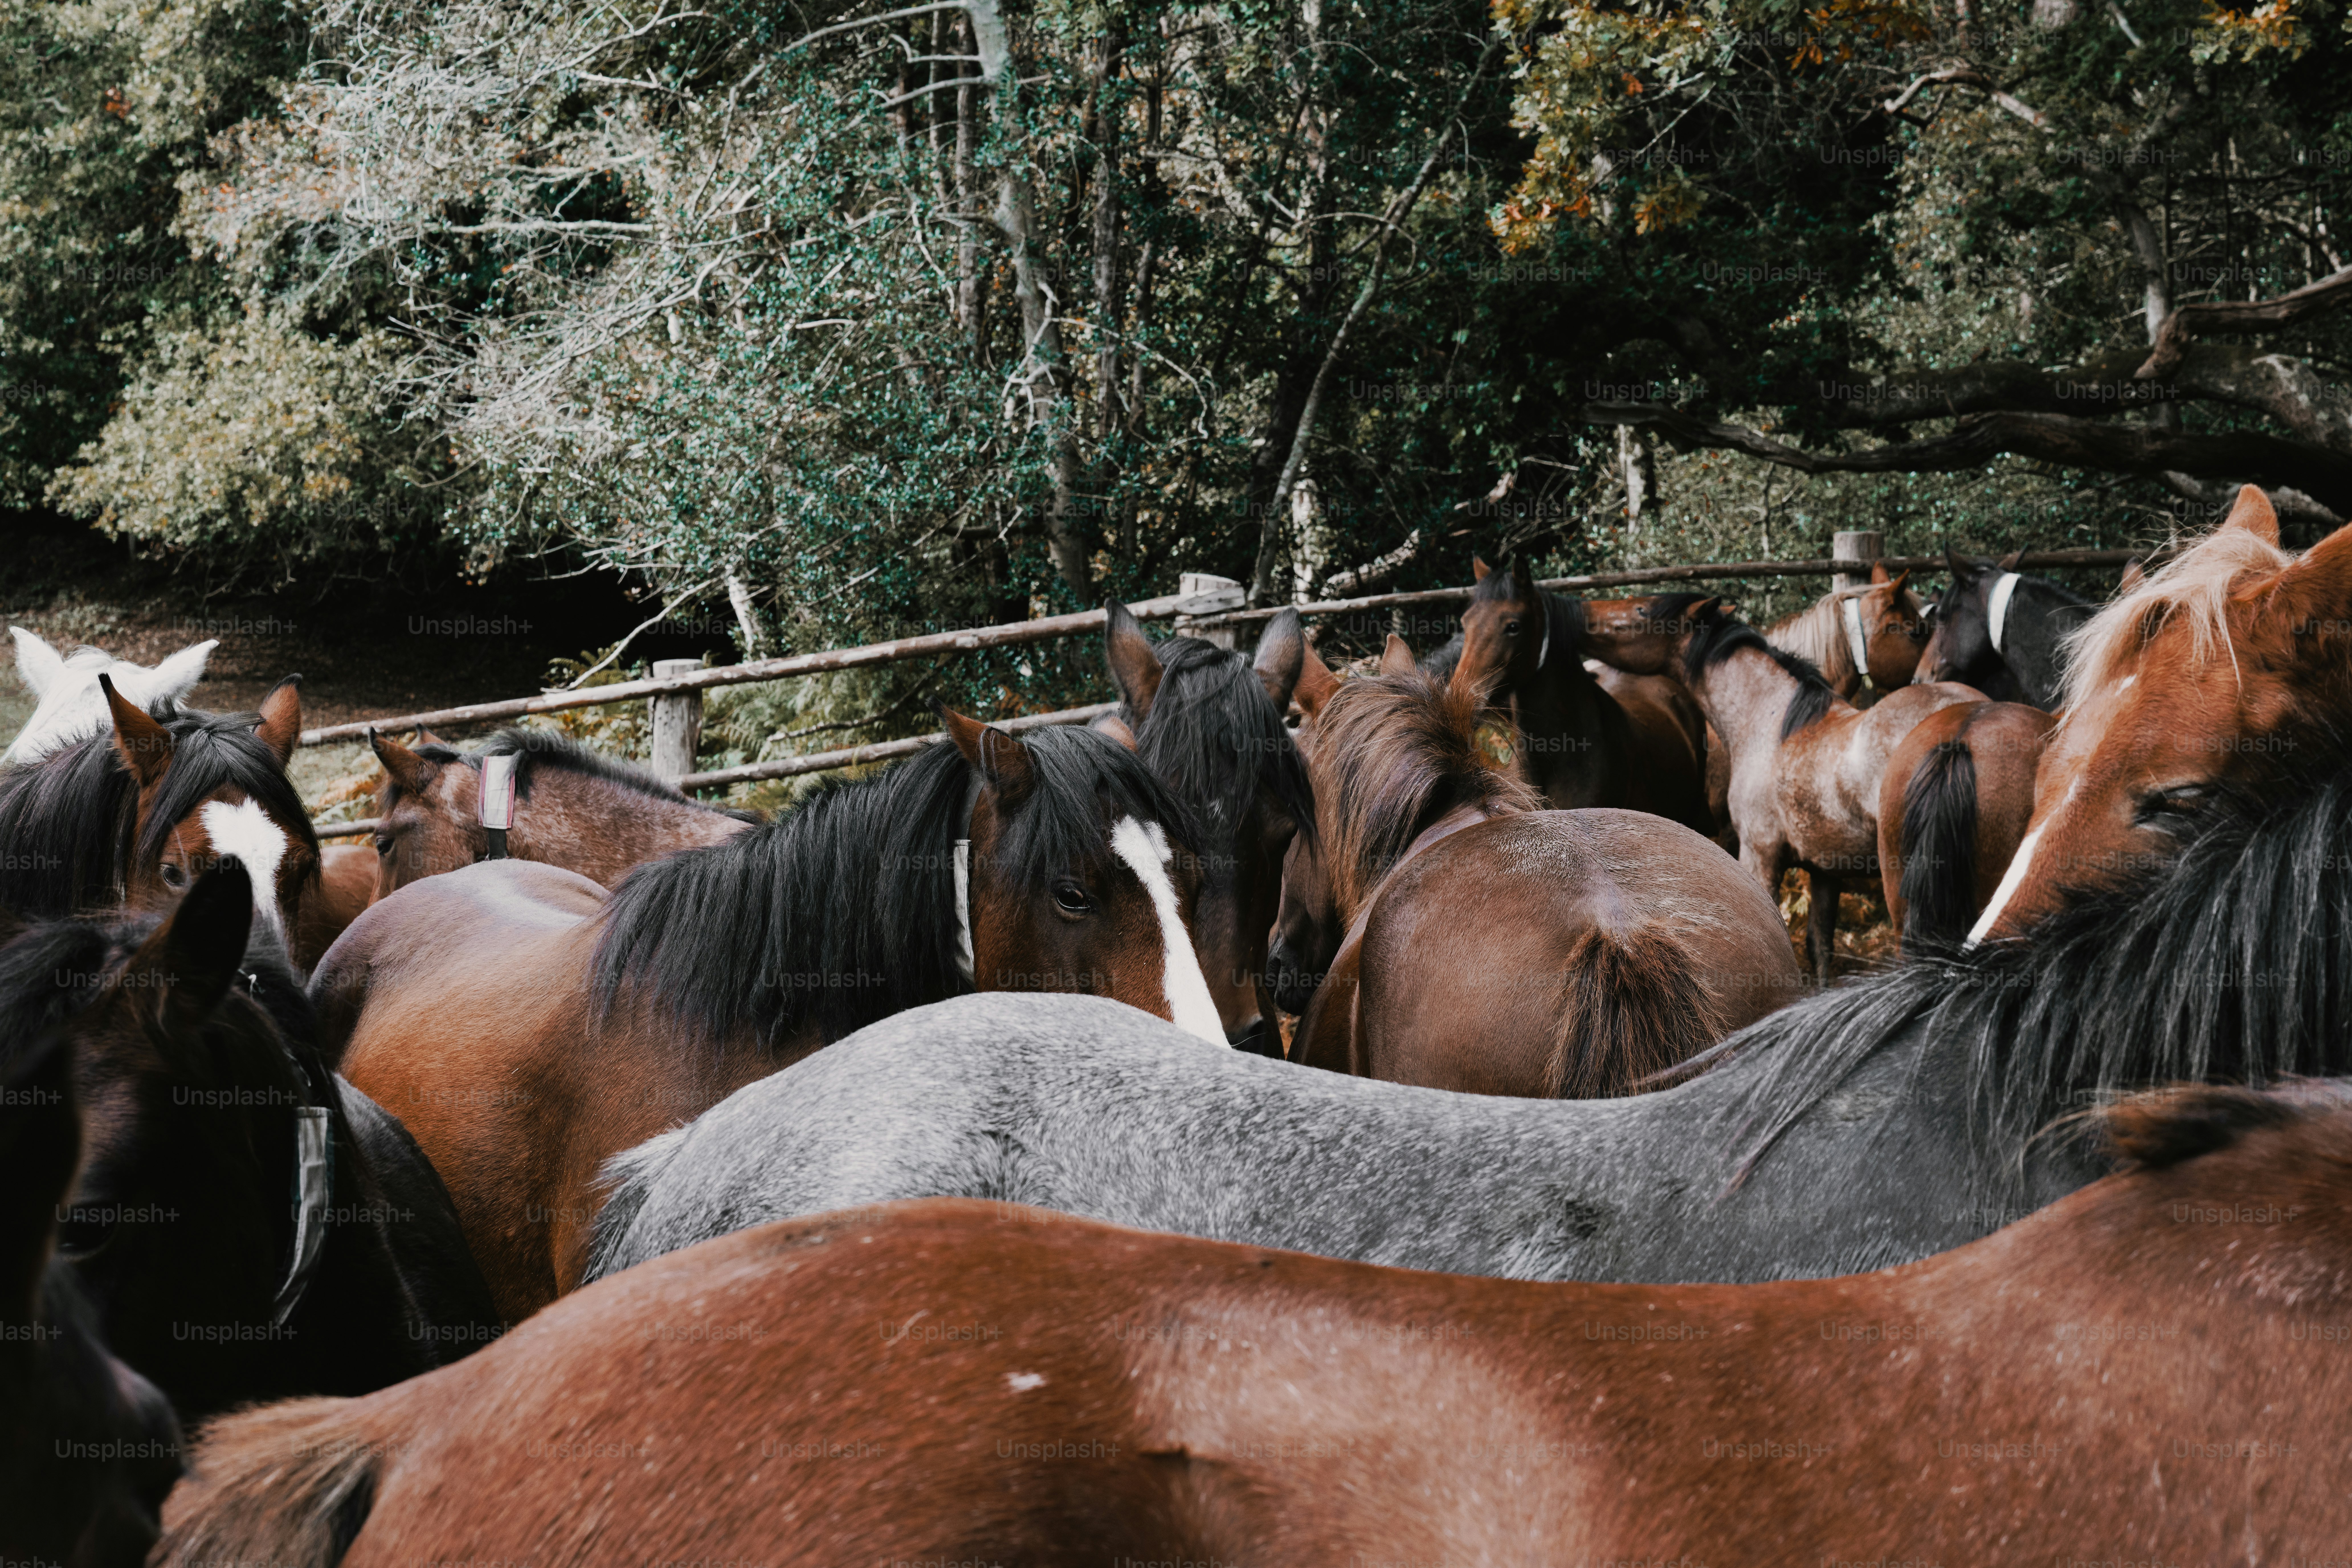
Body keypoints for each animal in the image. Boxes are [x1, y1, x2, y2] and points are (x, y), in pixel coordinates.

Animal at [1577, 594, 1982, 983]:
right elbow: (1820, 946)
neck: (1771, 725)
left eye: (1641, 609)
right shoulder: (1825, 870)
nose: (1583, 612)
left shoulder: (1760, 856)